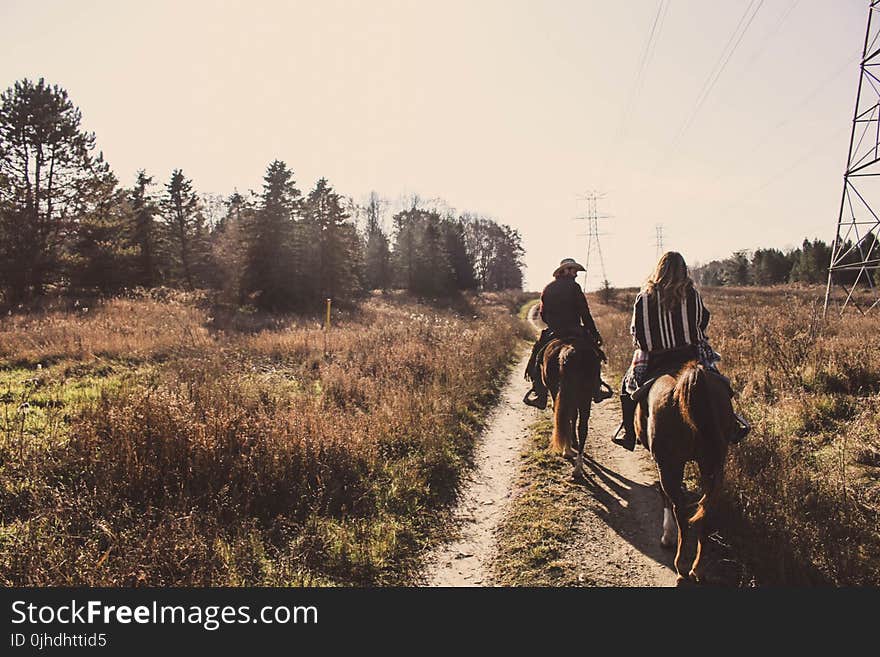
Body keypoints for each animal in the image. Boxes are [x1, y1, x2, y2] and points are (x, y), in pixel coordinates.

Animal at [540, 336, 600, 480]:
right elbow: (573, 417)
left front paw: (568, 447)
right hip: (584, 397)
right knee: (582, 427)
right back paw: (577, 467)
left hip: (562, 392)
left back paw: (570, 456)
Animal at [632, 362, 736, 580]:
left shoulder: (662, 463)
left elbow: (664, 495)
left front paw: (667, 536)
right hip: (711, 464)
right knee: (706, 508)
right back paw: (697, 568)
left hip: (669, 466)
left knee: (680, 509)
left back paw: (681, 565)